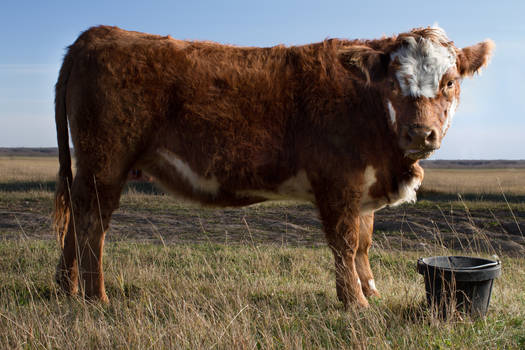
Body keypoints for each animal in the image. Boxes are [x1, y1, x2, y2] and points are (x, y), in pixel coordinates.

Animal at [53, 25, 492, 306]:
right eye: (394, 84)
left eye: (449, 81)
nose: (420, 133)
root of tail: (98, 32)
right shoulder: (338, 184)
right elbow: (345, 243)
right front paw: (355, 304)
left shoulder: (362, 189)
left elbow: (365, 242)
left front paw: (370, 291)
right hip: (106, 162)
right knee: (93, 221)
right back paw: (96, 297)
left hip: (92, 166)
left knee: (76, 215)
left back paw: (66, 288)